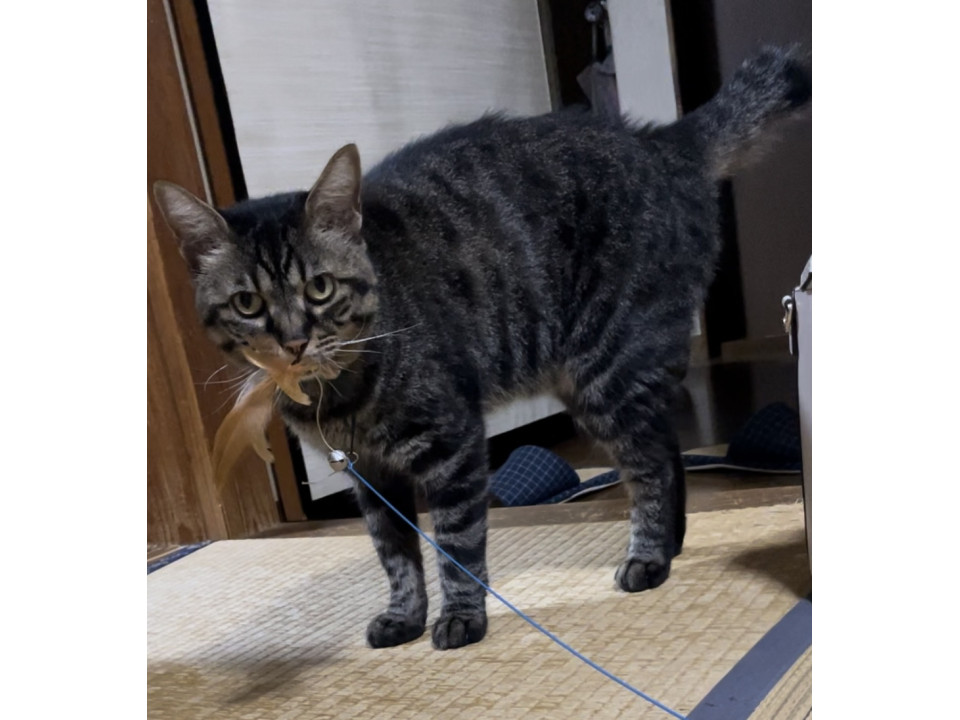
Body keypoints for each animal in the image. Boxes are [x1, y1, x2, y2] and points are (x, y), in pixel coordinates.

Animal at [154, 46, 810, 651]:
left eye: (318, 288)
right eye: (247, 303)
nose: (293, 341)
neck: (336, 397)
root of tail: (662, 142)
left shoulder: (452, 444)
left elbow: (455, 542)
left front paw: (460, 617)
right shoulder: (370, 476)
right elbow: (395, 555)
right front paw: (405, 616)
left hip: (611, 372)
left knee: (651, 465)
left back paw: (649, 556)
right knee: (666, 451)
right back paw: (668, 544)